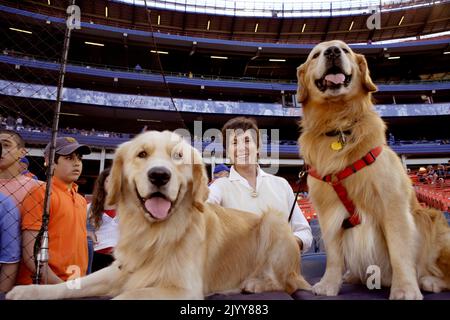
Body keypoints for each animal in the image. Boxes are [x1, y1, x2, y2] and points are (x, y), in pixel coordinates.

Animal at [7, 130, 310, 300]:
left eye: (178, 157)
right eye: (142, 154)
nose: (160, 175)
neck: (155, 231)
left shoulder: (184, 289)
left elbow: (124, 298)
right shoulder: (121, 269)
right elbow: (75, 283)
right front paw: (29, 292)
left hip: (273, 223)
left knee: (287, 282)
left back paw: (252, 284)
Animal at [298, 40, 448, 300]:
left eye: (345, 49)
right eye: (316, 54)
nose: (332, 51)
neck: (338, 124)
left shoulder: (392, 203)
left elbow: (399, 251)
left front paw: (405, 289)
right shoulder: (327, 211)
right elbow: (334, 255)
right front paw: (328, 285)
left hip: (433, 220)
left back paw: (429, 281)